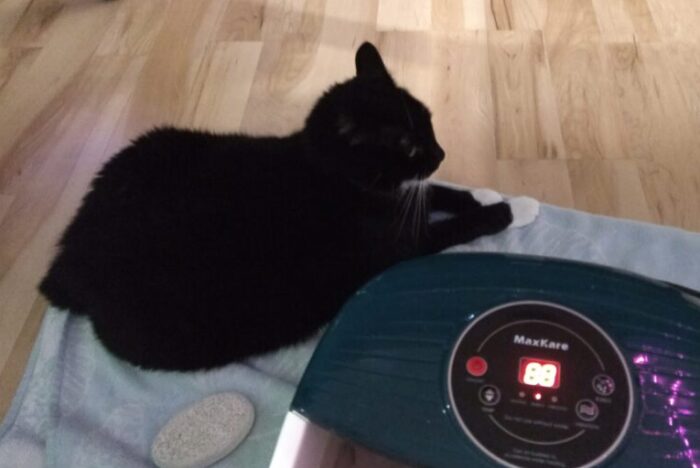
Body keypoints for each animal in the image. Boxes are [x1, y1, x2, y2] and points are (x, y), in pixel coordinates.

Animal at [38, 42, 532, 372]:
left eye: (428, 121)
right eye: (409, 146)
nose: (441, 153)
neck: (330, 171)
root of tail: (73, 254)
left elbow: (437, 193)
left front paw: (483, 197)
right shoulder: (401, 244)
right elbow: (446, 224)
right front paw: (498, 212)